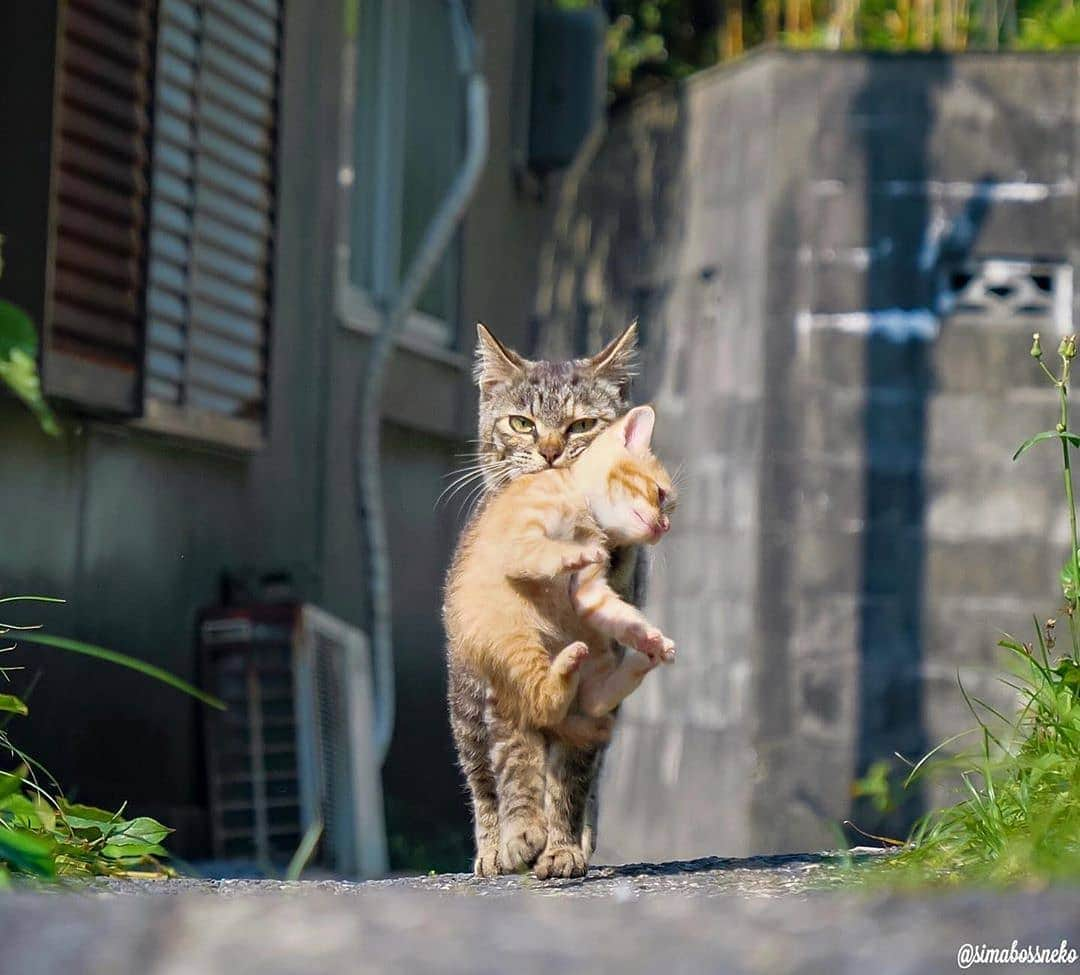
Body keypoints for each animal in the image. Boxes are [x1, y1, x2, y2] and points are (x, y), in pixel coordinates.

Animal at [442, 403, 678, 738]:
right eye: (659, 494)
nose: (665, 526)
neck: (579, 498)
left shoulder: (588, 593)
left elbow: (618, 613)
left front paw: (647, 636)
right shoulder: (516, 543)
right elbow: (541, 552)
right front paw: (577, 552)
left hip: (596, 651)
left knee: (593, 700)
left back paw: (641, 660)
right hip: (518, 641)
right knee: (547, 706)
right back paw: (566, 667)